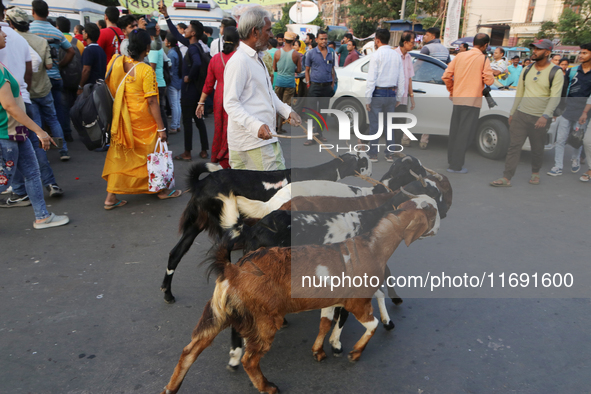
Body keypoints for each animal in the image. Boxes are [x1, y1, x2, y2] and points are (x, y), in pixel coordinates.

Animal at [161, 200, 440, 394]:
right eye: (428, 212)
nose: (439, 223)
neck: (370, 246)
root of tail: (232, 270)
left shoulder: (330, 300)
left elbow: (325, 322)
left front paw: (319, 351)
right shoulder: (357, 302)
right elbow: (368, 325)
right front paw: (354, 352)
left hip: (217, 313)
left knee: (190, 351)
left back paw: (172, 387)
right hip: (264, 320)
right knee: (251, 359)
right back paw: (267, 386)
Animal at [162, 152, 372, 304]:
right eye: (364, 161)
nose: (371, 174)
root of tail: (200, 183)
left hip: (196, 223)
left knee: (175, 253)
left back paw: (168, 294)